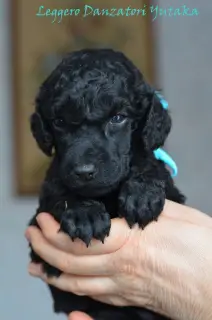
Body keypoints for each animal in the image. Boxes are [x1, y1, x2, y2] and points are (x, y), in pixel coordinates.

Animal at [28, 48, 186, 320]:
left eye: (118, 118)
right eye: (59, 122)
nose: (84, 171)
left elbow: (149, 164)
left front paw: (142, 194)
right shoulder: (38, 225)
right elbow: (59, 194)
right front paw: (84, 214)